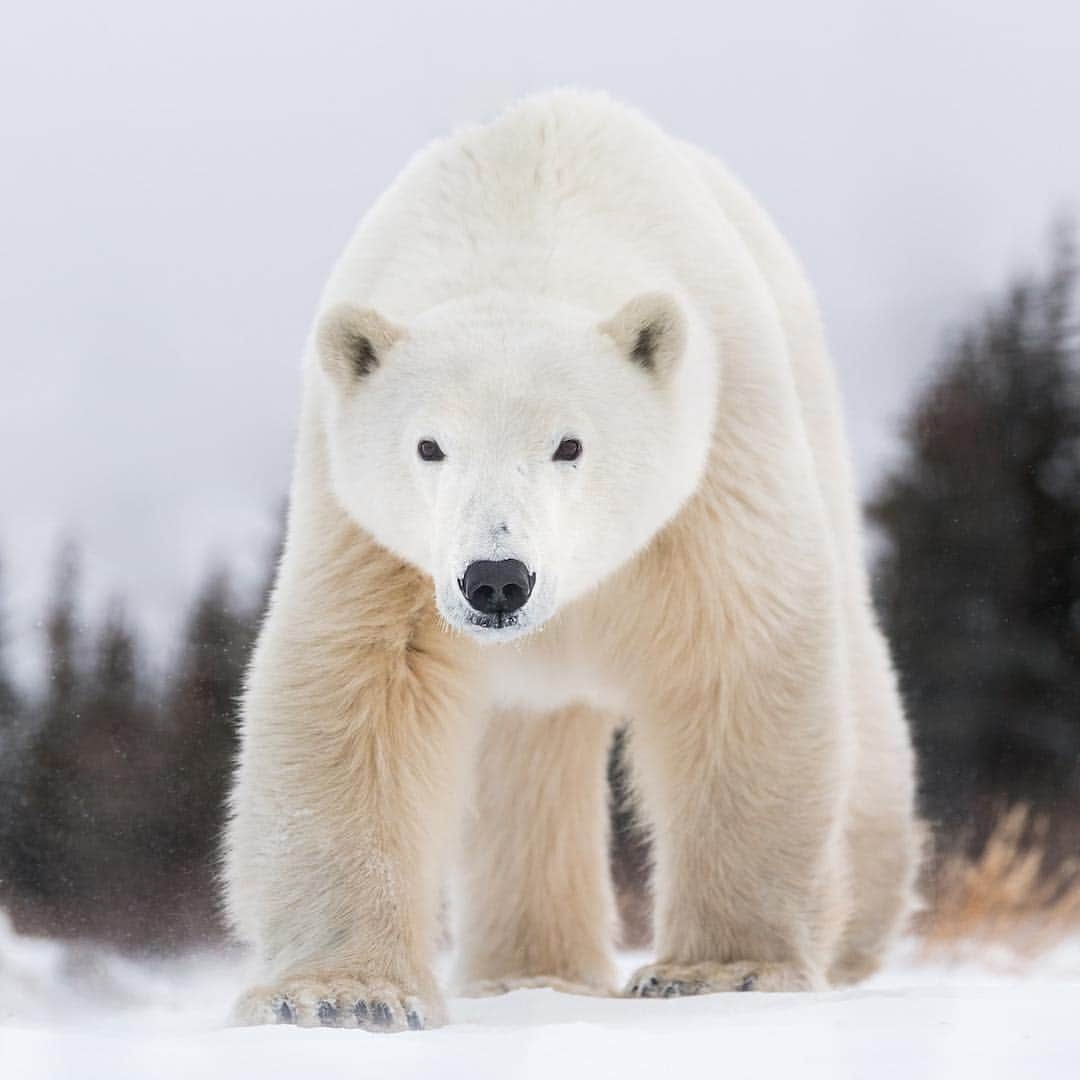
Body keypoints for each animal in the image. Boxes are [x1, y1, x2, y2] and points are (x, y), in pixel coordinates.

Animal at [225, 90, 920, 1028]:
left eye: (569, 444)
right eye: (429, 445)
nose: (496, 580)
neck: (523, 216)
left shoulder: (713, 470)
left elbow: (734, 661)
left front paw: (721, 971)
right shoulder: (370, 534)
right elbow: (359, 691)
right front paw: (341, 995)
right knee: (529, 765)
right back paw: (530, 972)